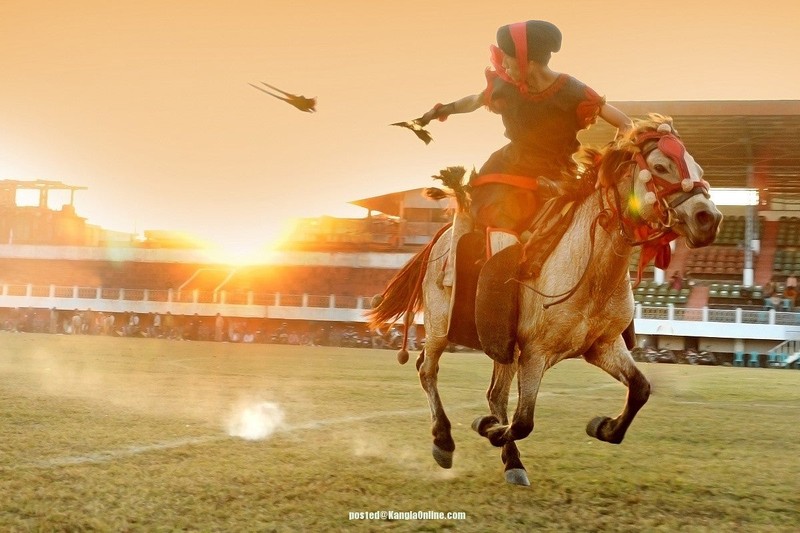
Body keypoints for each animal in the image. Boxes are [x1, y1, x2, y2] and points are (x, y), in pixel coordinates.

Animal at [368, 114, 724, 484]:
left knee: (494, 394)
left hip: (503, 345)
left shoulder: (603, 346)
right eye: (660, 166)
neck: (590, 270)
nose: (708, 218)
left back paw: (511, 461)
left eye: (698, 167)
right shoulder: (535, 353)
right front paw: (487, 428)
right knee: (428, 370)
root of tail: (439, 238)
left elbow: (640, 388)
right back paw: (444, 440)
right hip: (439, 326)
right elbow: (523, 421)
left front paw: (602, 426)